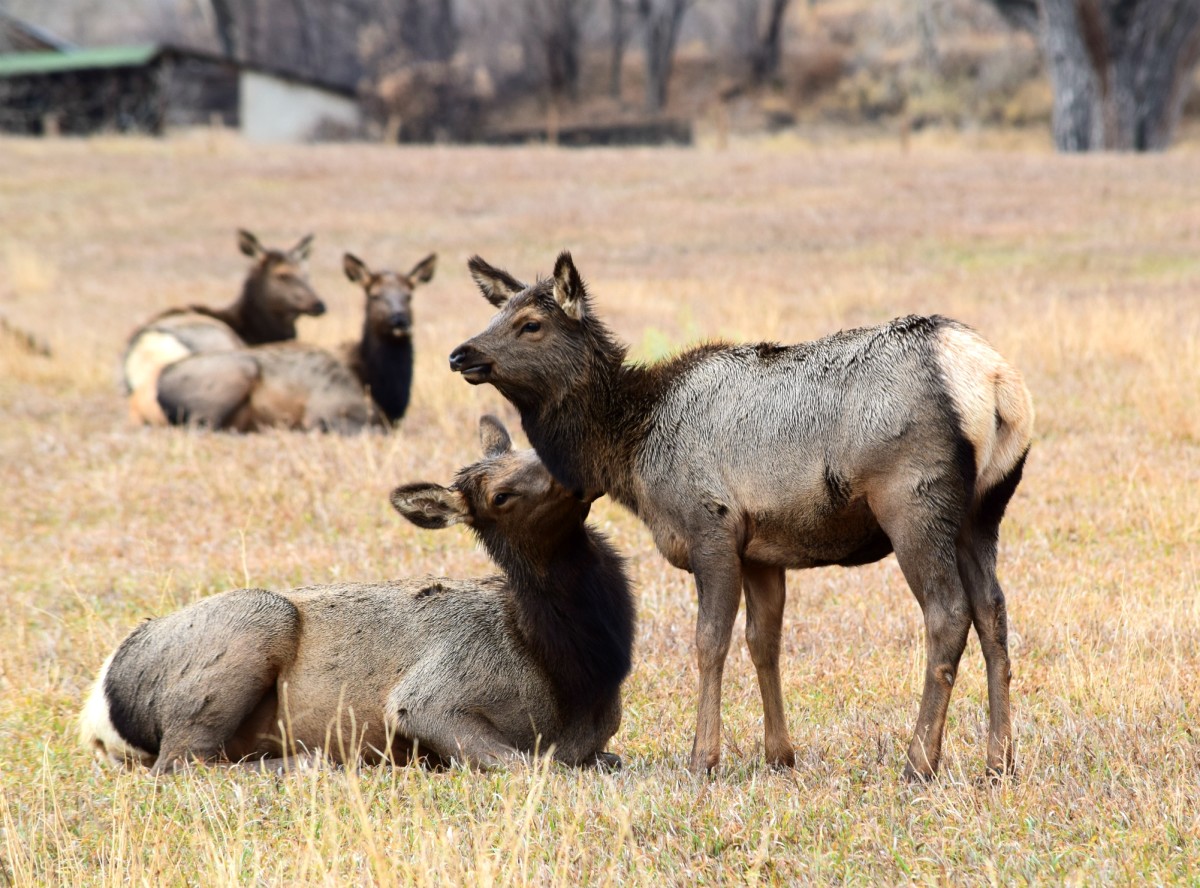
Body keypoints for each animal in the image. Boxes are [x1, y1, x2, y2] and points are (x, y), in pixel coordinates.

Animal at [79, 416, 635, 774]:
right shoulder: (429, 697)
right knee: (181, 764)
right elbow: (529, 766)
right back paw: (306, 763)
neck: (573, 674)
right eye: (501, 495)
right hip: (255, 622)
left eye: (532, 450)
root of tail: (99, 708)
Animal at [152, 252, 436, 432]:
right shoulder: (326, 410)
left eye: (409, 295)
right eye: (375, 295)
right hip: (234, 378)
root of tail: (159, 382)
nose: (399, 320)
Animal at [449, 252, 1034, 781]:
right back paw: (999, 761)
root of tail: (995, 379)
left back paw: (919, 762)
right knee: (993, 612)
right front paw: (779, 755)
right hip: (983, 511)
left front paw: (702, 759)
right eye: (498, 313)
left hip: (912, 499)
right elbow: (763, 642)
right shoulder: (762, 550)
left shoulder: (710, 524)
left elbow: (710, 642)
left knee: (947, 614)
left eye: (531, 323)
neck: (632, 451)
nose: (460, 354)